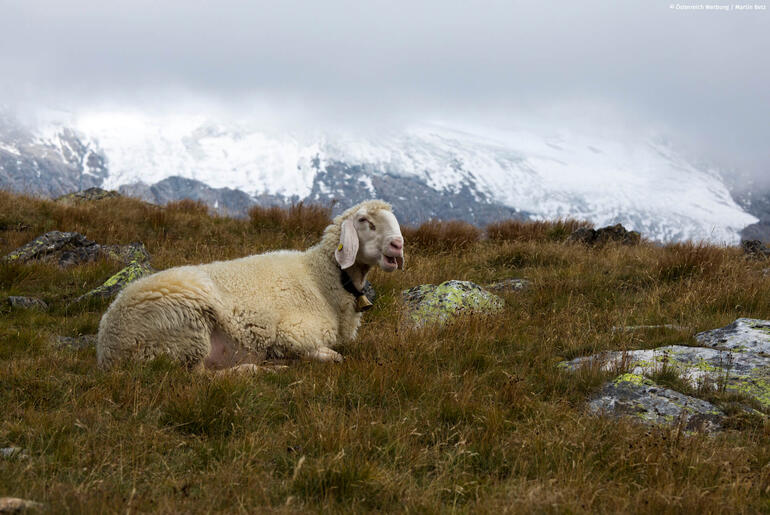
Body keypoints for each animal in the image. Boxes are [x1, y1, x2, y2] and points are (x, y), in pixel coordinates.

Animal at [96, 199, 404, 370]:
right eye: (363, 220)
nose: (397, 245)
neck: (321, 278)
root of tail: (107, 347)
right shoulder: (293, 333)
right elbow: (331, 355)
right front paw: (320, 356)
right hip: (183, 331)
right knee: (197, 377)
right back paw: (261, 370)